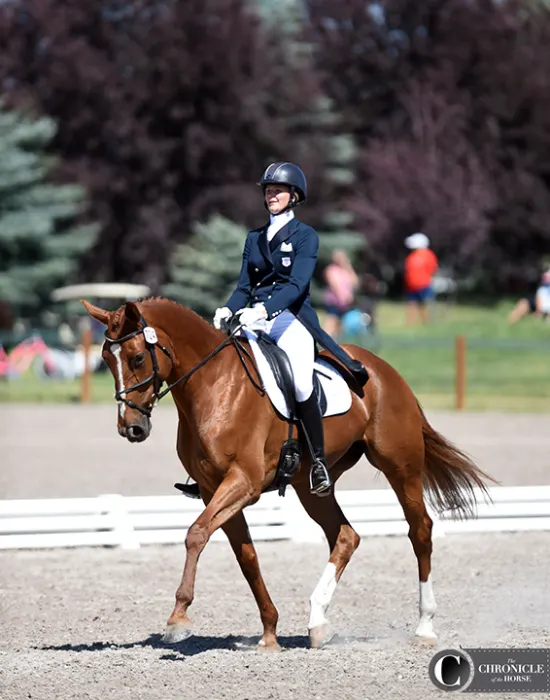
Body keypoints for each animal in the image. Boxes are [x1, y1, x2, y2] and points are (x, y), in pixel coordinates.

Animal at [81, 296, 492, 652]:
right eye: (105, 360)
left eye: (136, 357)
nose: (131, 428)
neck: (212, 387)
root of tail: (384, 370)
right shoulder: (216, 489)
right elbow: (246, 556)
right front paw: (269, 632)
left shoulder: (242, 483)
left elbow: (196, 534)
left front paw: (178, 619)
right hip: (310, 486)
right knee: (346, 536)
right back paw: (318, 623)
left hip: (400, 467)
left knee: (419, 530)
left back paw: (424, 627)